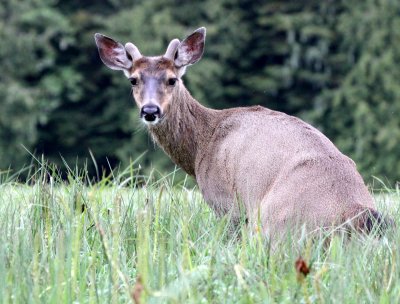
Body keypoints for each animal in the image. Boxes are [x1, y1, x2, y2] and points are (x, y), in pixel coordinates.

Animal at [95, 27, 392, 241]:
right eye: (133, 79)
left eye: (172, 79)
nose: (150, 110)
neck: (202, 146)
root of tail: (357, 213)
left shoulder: (227, 204)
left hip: (275, 222)